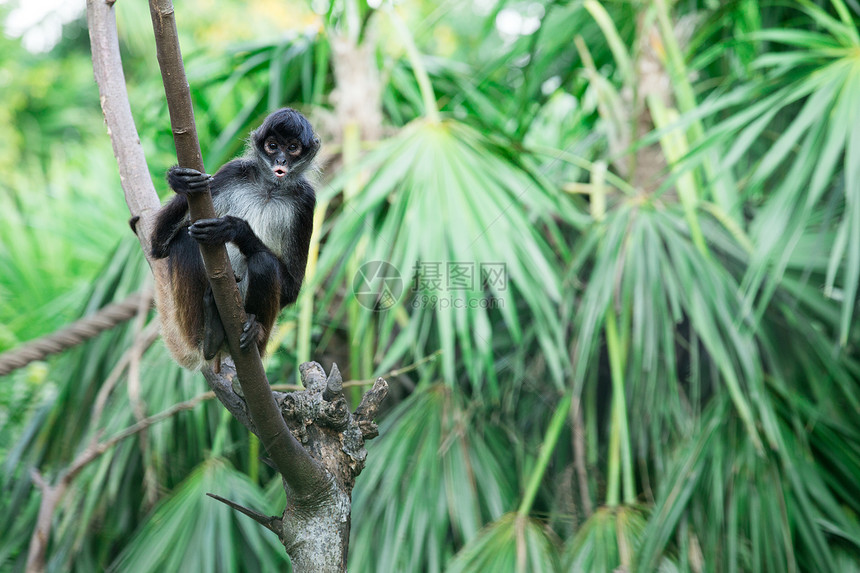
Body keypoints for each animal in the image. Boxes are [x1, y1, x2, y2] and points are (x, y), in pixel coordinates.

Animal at [149, 109, 320, 368]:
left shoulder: (306, 201)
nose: (280, 161)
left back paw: (253, 333)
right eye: (272, 146)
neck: (269, 189)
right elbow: (158, 247)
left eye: (292, 148)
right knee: (185, 240)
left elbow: (292, 289)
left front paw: (237, 229)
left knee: (264, 262)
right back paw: (209, 335)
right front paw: (181, 181)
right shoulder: (232, 171)